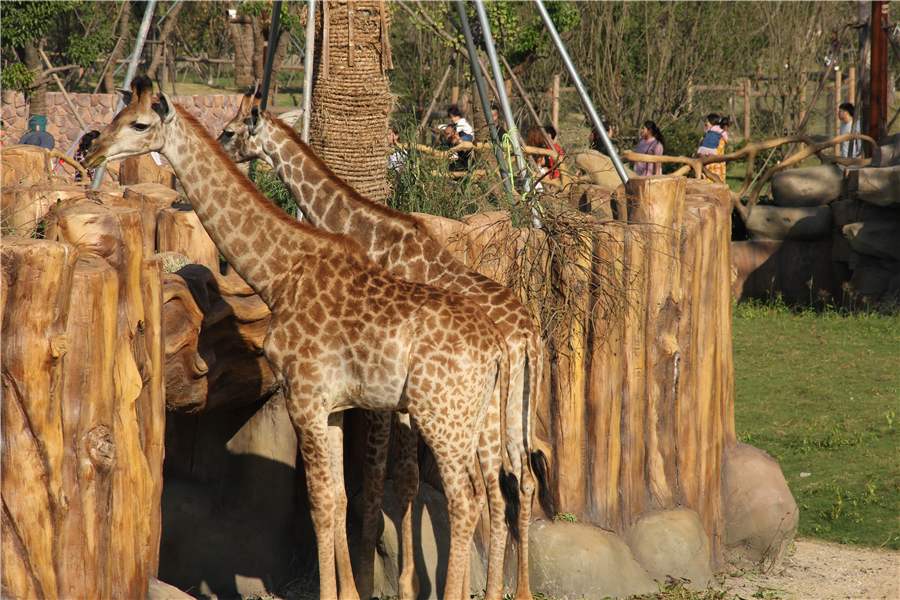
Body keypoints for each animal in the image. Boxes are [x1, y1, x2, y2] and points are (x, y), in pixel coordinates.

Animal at [86, 76, 512, 600]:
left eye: (140, 124)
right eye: (116, 116)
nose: (91, 149)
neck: (278, 272)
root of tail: (496, 348)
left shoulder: (304, 398)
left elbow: (320, 504)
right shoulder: (332, 406)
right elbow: (339, 497)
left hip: (441, 417)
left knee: (465, 500)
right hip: (472, 418)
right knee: (488, 494)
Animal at [221, 90, 552, 600]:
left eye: (230, 131)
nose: (219, 144)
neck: (370, 230)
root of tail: (527, 336)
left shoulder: (382, 391)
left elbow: (380, 477)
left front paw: (370, 577)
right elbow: (406, 480)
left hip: (480, 410)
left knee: (494, 487)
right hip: (516, 405)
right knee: (523, 478)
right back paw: (517, 590)